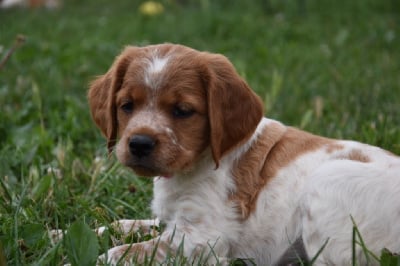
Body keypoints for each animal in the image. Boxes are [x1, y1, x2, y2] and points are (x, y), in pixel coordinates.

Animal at [88, 43, 400, 264]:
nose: (139, 143)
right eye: (127, 105)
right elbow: (131, 225)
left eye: (182, 111)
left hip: (330, 180)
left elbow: (130, 252)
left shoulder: (202, 236)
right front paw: (86, 231)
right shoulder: (175, 221)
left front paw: (103, 254)